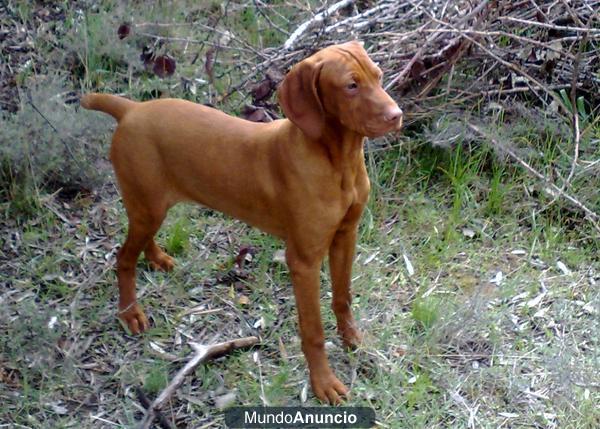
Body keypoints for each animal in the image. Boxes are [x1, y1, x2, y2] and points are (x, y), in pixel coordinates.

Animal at [82, 40, 404, 402]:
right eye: (351, 86)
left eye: (378, 76)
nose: (397, 116)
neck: (339, 163)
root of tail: (131, 109)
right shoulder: (303, 260)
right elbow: (313, 330)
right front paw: (323, 382)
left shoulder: (346, 235)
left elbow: (343, 297)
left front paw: (353, 342)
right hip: (146, 204)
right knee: (123, 258)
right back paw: (130, 313)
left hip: (149, 205)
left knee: (139, 240)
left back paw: (157, 258)